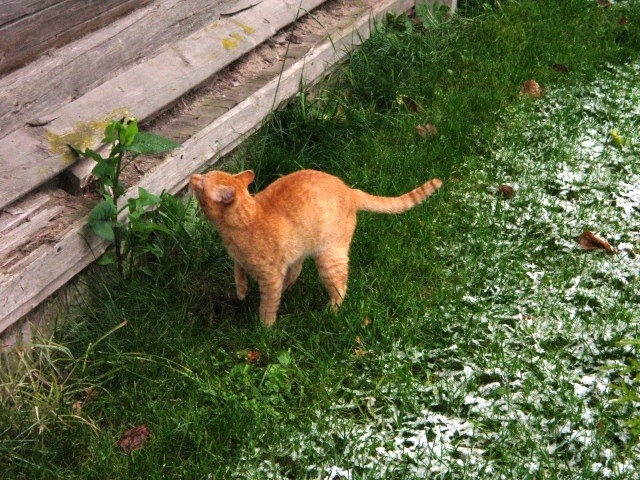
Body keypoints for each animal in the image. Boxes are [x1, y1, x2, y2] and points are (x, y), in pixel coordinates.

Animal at [190, 169, 440, 326]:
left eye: (202, 182)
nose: (193, 176)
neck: (245, 220)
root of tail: (350, 190)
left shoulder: (270, 277)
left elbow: (268, 305)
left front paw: (264, 328)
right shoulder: (240, 261)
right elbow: (238, 272)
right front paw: (241, 292)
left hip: (329, 259)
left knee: (339, 286)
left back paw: (331, 310)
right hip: (300, 249)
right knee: (297, 270)